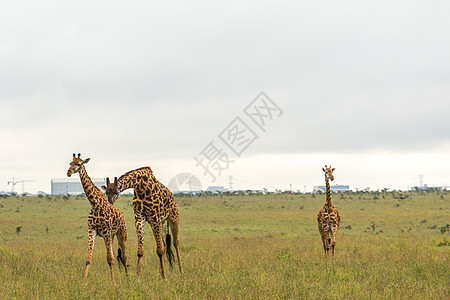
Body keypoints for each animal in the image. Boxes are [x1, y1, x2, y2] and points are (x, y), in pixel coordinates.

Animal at [66, 154, 128, 282]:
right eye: (70, 163)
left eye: (78, 163)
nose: (68, 172)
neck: (94, 204)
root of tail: (122, 214)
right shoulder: (92, 230)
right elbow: (88, 258)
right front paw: (84, 281)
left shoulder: (106, 231)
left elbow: (109, 259)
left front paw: (112, 281)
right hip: (112, 235)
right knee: (116, 255)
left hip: (121, 233)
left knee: (124, 256)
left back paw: (128, 277)